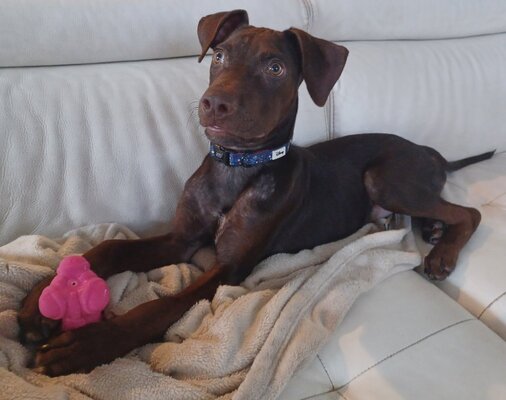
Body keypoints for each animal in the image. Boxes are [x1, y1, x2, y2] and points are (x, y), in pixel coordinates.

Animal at [18, 9, 494, 376]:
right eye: (219, 56)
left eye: (275, 68)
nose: (214, 104)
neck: (236, 168)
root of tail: (431, 152)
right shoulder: (182, 238)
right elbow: (109, 248)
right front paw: (41, 300)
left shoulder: (229, 268)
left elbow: (160, 307)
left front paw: (86, 345)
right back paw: (432, 231)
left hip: (384, 177)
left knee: (468, 213)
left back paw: (441, 253)